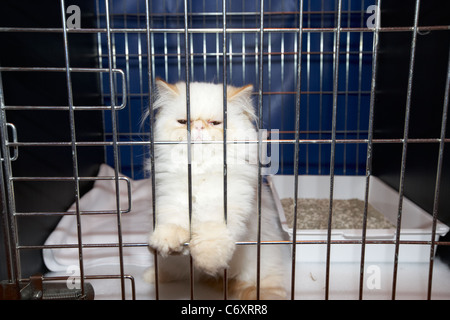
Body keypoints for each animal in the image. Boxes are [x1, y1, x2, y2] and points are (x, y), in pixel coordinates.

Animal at [145, 79, 292, 298]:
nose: (198, 126)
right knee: (178, 273)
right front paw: (166, 241)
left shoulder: (224, 201)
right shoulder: (171, 196)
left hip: (259, 267)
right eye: (183, 122)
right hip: (175, 265)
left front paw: (208, 260)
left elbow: (210, 234)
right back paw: (152, 275)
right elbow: (172, 221)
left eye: (215, 123)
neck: (199, 169)